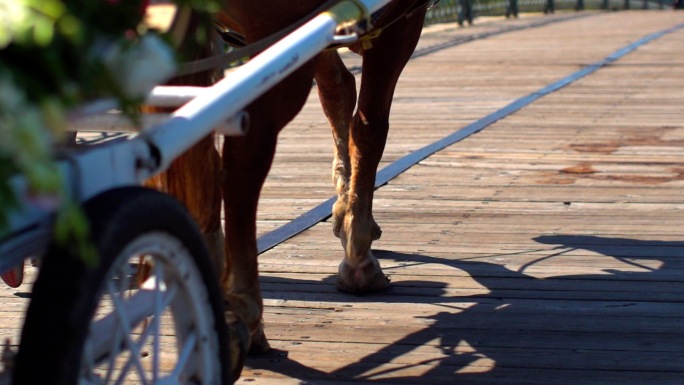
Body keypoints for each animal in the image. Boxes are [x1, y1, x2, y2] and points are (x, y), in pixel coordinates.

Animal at [156, 0, 430, 378]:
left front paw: (344, 209)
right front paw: (358, 252)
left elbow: (338, 93)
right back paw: (245, 313)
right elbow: (369, 128)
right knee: (244, 157)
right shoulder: (398, 28)